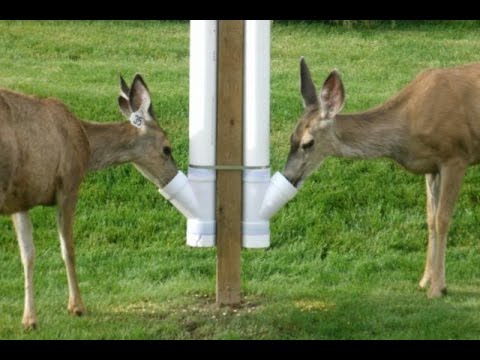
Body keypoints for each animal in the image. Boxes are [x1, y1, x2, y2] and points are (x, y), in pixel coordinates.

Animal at [0, 74, 178, 330]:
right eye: (167, 149)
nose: (173, 176)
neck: (86, 141)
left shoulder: (20, 198)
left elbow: (27, 254)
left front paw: (29, 319)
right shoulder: (68, 184)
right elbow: (68, 249)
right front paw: (77, 306)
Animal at [284, 59, 480, 300]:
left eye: (308, 143)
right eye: (291, 138)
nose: (288, 176)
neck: (407, 127)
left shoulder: (455, 156)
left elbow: (442, 219)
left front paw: (437, 288)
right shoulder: (431, 166)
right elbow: (430, 218)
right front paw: (425, 280)